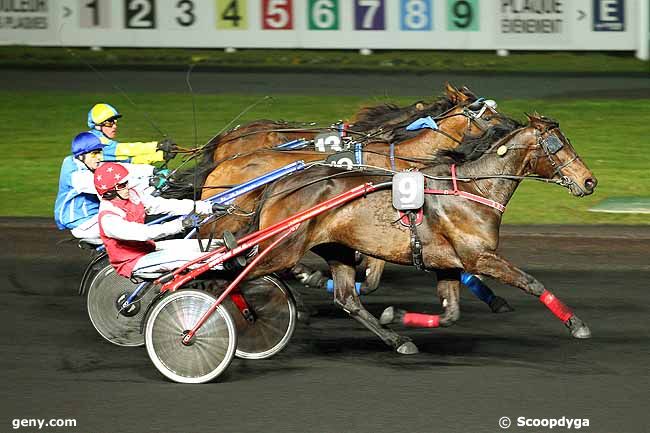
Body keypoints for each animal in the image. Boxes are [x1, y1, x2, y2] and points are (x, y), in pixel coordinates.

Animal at [229, 113, 596, 352]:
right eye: (557, 145)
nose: (589, 181)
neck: (471, 190)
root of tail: (278, 185)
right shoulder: (479, 257)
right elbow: (531, 282)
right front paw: (576, 324)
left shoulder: (447, 264)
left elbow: (450, 314)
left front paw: (397, 315)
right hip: (282, 248)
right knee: (237, 274)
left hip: (336, 248)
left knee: (348, 299)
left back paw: (397, 340)